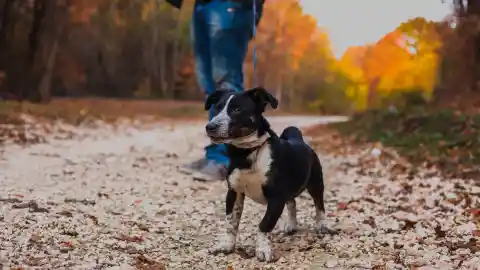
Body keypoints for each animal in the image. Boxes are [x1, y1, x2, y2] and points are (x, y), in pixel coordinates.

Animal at [203, 86, 334, 262]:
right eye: (217, 108)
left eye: (237, 109)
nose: (210, 126)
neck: (249, 153)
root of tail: (299, 140)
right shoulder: (234, 193)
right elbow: (231, 222)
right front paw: (226, 245)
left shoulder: (276, 198)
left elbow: (264, 225)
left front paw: (263, 249)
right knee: (292, 202)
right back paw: (291, 225)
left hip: (316, 183)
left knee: (319, 205)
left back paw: (322, 225)